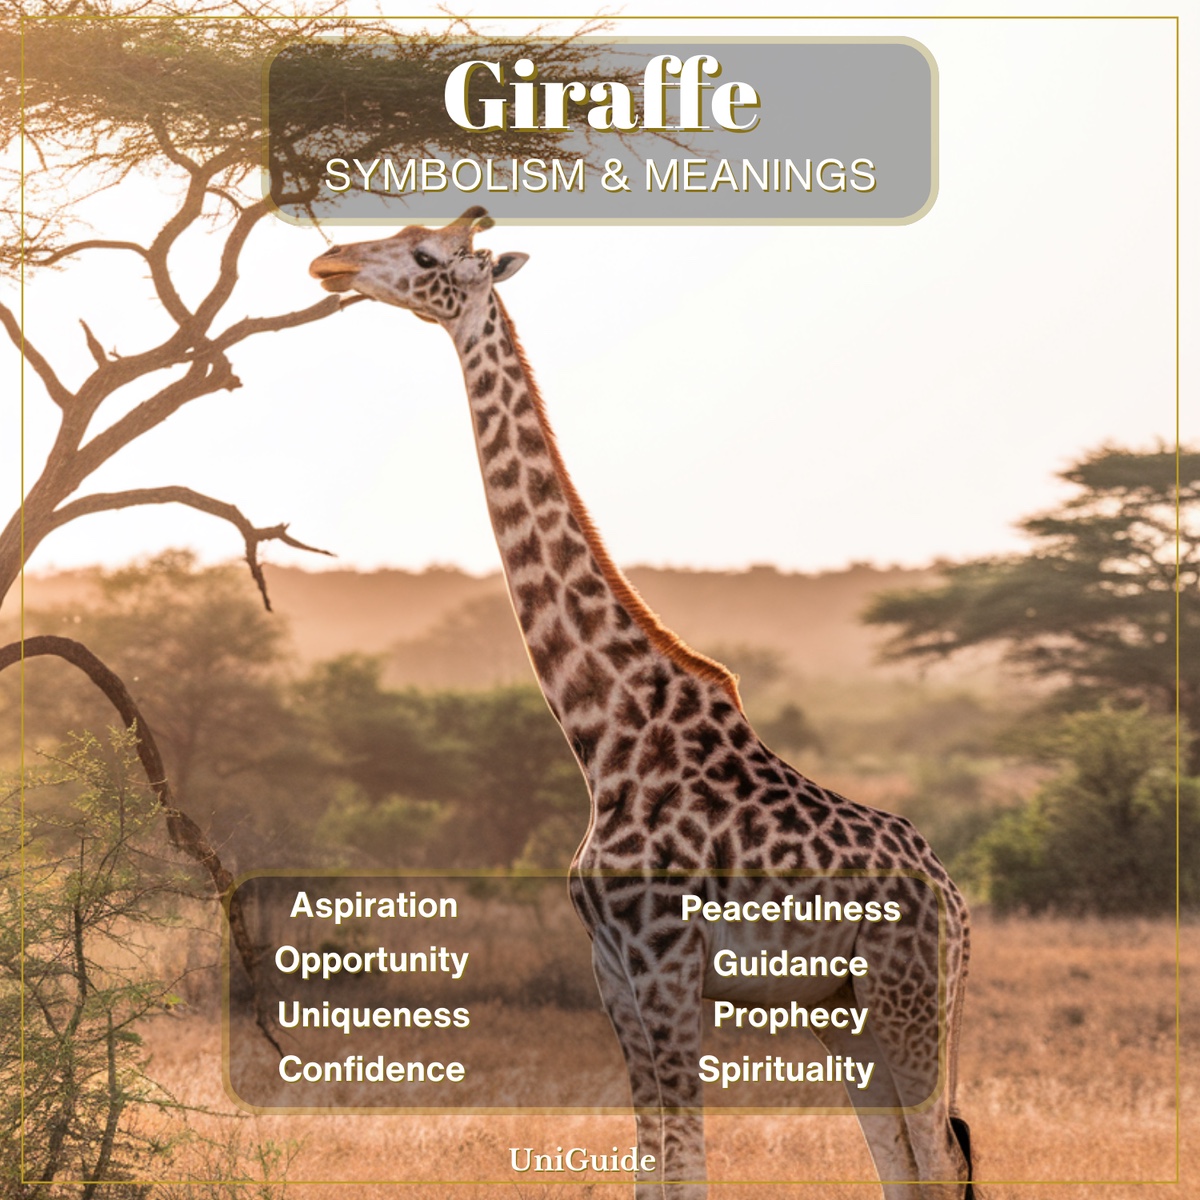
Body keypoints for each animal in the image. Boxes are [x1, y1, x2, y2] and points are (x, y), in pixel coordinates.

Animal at [309, 207, 974, 1200]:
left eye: (427, 255)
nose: (331, 261)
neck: (606, 729)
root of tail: (959, 904)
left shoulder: (667, 961)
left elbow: (686, 1167)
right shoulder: (612, 968)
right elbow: (650, 1165)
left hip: (908, 992)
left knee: (938, 1160)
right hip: (844, 1007)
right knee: (905, 1166)